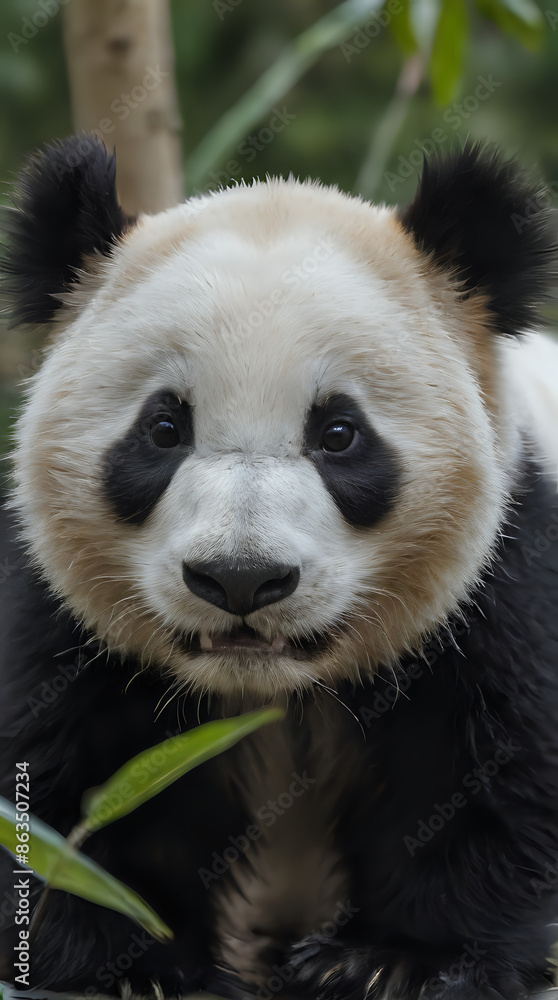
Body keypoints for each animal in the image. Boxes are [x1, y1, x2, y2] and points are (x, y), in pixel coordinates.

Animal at [1, 133, 558, 1000]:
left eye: (339, 433)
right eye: (163, 428)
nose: (241, 579)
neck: (271, 684)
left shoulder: (504, 571)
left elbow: (483, 762)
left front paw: (396, 961)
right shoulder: (62, 614)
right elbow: (80, 775)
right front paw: (135, 964)